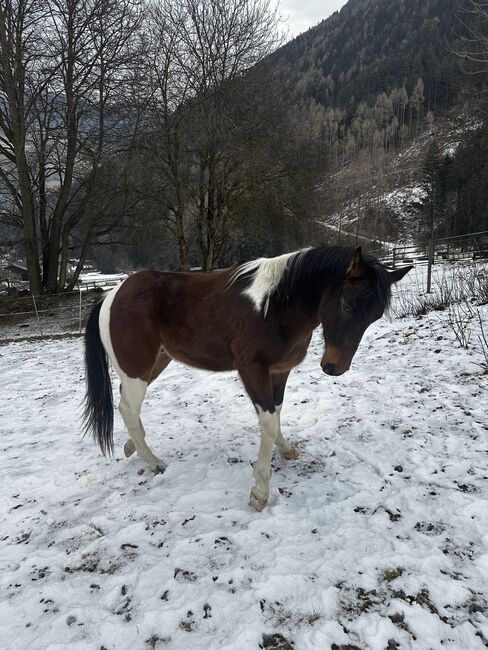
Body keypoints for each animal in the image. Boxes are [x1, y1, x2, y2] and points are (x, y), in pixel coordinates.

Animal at [84, 246, 412, 508]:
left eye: (374, 316)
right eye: (346, 304)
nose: (334, 367)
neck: (276, 307)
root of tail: (112, 295)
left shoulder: (279, 371)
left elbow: (276, 414)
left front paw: (286, 449)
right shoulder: (252, 370)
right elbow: (267, 421)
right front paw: (261, 492)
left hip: (154, 363)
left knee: (127, 405)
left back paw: (133, 447)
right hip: (137, 369)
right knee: (128, 408)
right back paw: (153, 463)